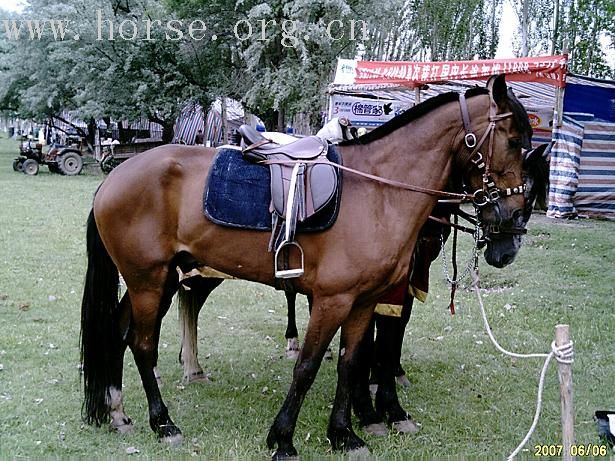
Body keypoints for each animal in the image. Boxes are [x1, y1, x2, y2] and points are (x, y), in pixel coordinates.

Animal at [82, 74, 536, 456]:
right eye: (515, 141)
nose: (513, 223)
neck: (378, 192)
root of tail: (113, 178)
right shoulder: (332, 300)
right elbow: (308, 366)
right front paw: (283, 438)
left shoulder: (363, 303)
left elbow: (351, 364)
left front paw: (344, 434)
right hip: (149, 281)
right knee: (143, 344)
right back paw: (163, 423)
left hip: (158, 281)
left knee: (119, 333)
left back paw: (118, 410)